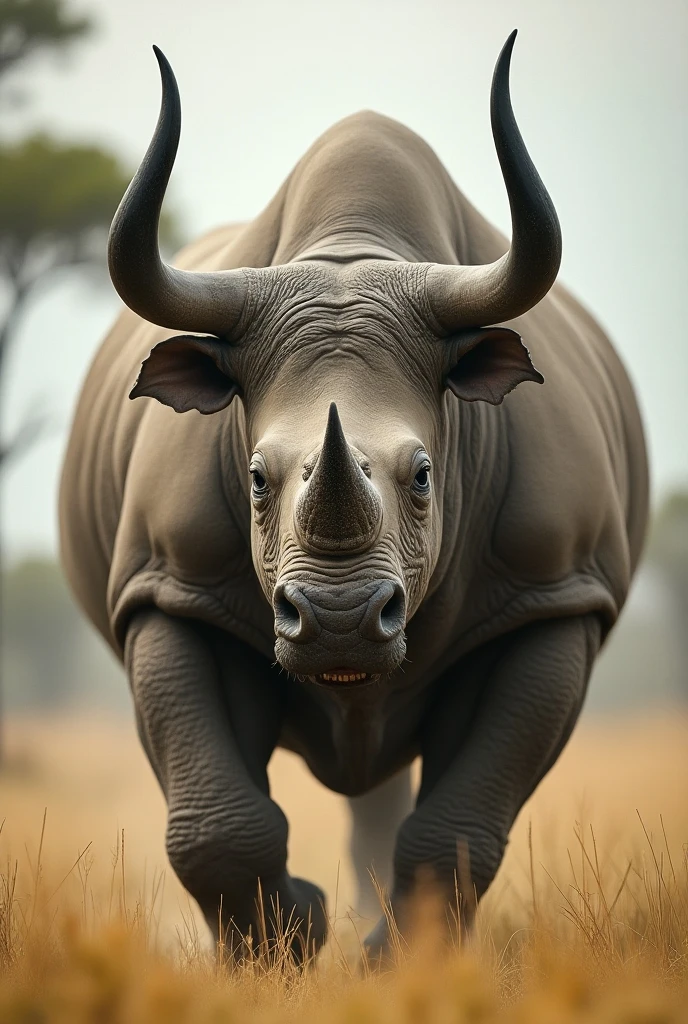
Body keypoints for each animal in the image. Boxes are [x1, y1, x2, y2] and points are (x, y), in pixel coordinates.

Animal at [59, 32, 648, 959]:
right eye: (255, 478)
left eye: (425, 476)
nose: (339, 620)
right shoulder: (167, 582)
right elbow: (214, 826)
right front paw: (284, 947)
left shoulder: (554, 590)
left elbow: (461, 824)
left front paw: (404, 965)